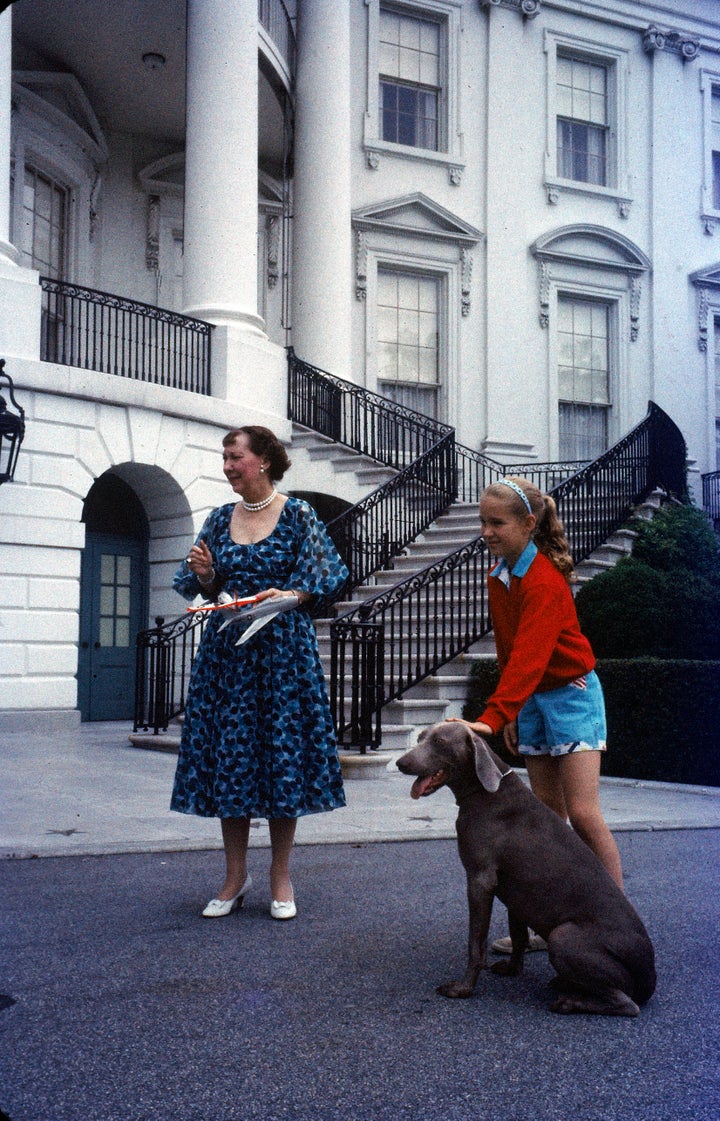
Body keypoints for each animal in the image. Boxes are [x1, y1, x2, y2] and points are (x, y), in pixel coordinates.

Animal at [394, 721, 654, 1022]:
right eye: (421, 738)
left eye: (439, 741)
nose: (400, 762)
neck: (486, 791)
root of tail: (650, 977)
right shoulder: (514, 890)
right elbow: (518, 935)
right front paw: (512, 969)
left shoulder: (480, 880)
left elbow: (475, 943)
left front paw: (463, 988)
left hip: (563, 936)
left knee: (627, 1004)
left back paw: (570, 1002)